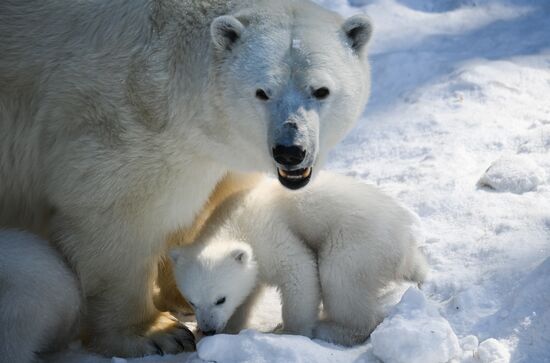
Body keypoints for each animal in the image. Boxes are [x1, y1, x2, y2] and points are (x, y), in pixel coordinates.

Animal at [170, 173, 430, 346]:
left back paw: (330, 329)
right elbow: (248, 293)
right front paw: (230, 329)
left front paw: (288, 333)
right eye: (192, 302)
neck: (232, 222)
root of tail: (402, 241)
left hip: (358, 241)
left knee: (339, 277)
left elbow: (299, 269)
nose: (208, 329)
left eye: (220, 299)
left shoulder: (268, 235)